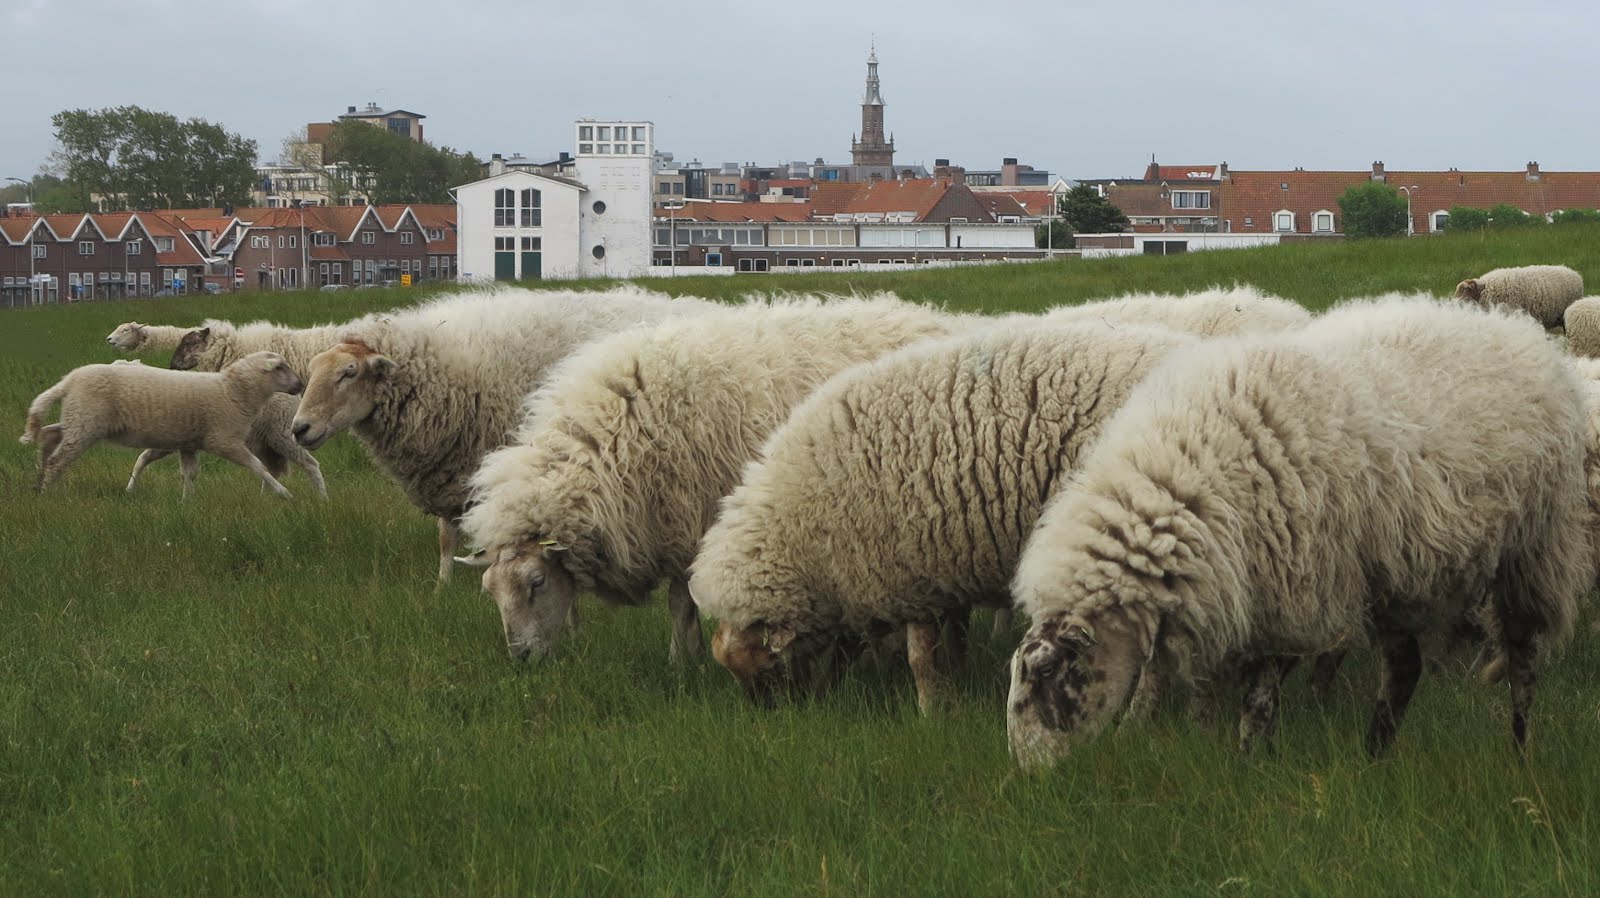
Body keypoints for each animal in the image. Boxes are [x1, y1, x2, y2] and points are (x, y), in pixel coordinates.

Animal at [21, 350, 305, 496]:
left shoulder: (190, 444)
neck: (233, 391)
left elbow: (190, 474)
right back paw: (46, 492)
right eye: (279, 368)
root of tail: (69, 380)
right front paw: (284, 493)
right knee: (59, 459)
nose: (301, 385)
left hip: (80, 420)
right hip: (85, 424)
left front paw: (187, 503)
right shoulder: (223, 441)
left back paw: (38, 479)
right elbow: (258, 466)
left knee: (50, 435)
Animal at [457, 294, 966, 659]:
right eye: (489, 591)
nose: (521, 660)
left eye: (536, 583)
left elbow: (681, 606)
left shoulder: (693, 524)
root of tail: (937, 319)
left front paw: (680, 664)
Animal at [694, 318, 1196, 710]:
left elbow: (919, 658)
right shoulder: (895, 577)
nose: (769, 717)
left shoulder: (908, 574)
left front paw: (930, 709)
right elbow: (883, 644)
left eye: (763, 667)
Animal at [1004, 294, 1593, 771]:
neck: (1190, 477)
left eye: (1049, 671)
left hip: (1532, 551)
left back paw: (1519, 754)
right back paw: (1373, 758)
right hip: (1398, 570)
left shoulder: (1303, 593)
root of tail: (1516, 330)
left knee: (1522, 661)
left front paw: (1249, 764)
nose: (1031, 777)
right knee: (1405, 669)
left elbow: (1259, 701)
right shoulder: (1261, 596)